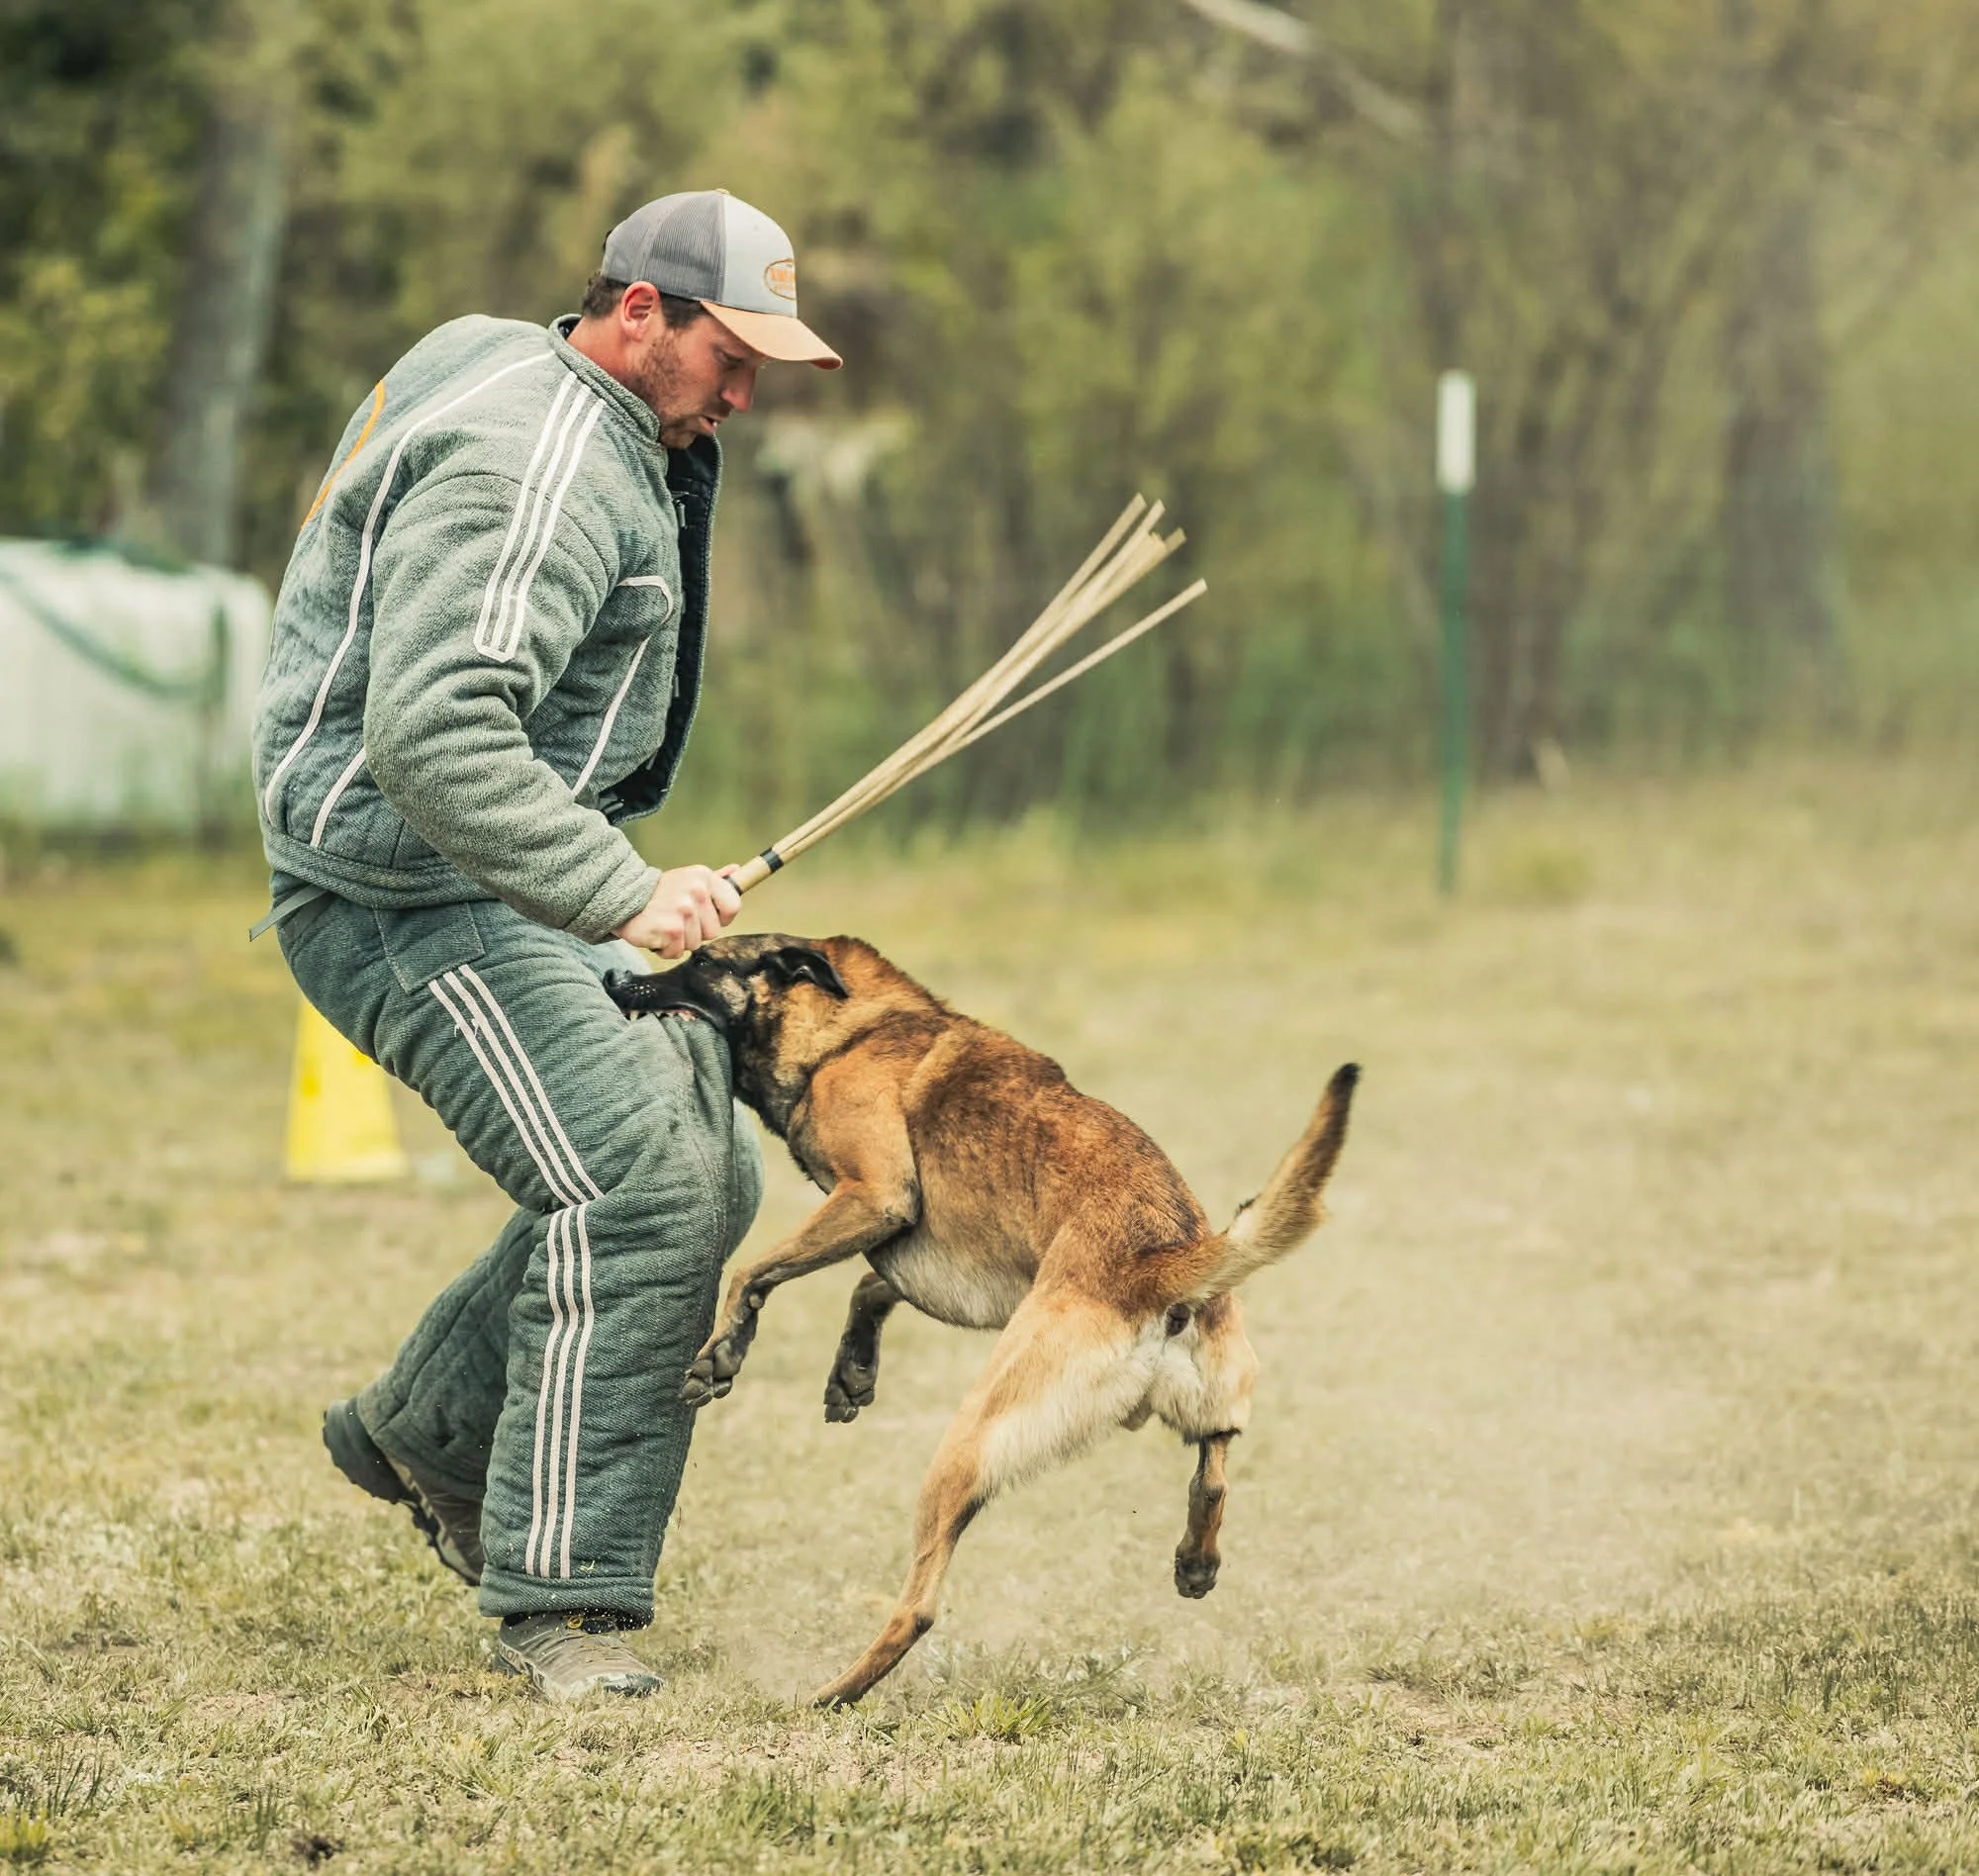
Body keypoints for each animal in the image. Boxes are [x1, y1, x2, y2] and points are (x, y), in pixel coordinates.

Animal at [606, 933, 1357, 1706]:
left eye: (700, 962)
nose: (614, 979)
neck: (848, 1030)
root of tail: (1162, 1263)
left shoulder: (876, 1197)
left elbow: (753, 1270)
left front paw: (723, 1353)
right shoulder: (947, 1265)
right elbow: (869, 1288)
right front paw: (852, 1373)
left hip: (965, 1445)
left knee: (919, 1608)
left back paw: (833, 1693)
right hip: (1206, 1401)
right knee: (1213, 1475)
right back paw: (1195, 1562)